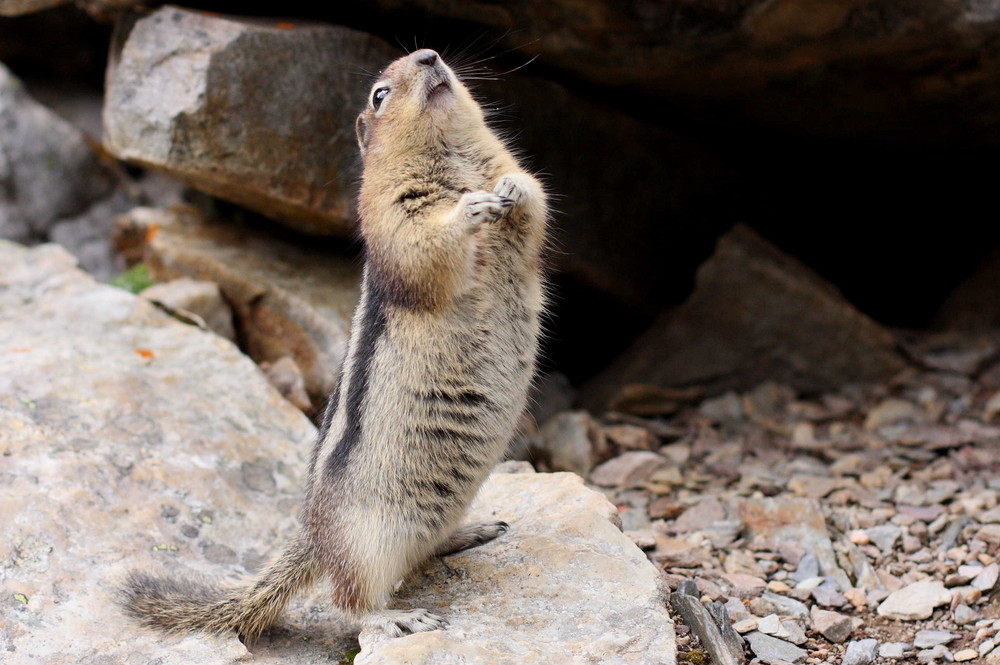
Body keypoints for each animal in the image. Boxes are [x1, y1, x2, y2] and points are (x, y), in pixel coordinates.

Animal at [124, 46, 552, 640]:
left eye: (432, 51)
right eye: (379, 93)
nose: (430, 55)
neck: (453, 157)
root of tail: (315, 537)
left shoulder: (510, 189)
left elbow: (534, 208)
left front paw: (510, 189)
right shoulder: (390, 216)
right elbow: (423, 247)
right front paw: (468, 208)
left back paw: (473, 531)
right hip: (371, 540)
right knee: (348, 600)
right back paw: (398, 618)